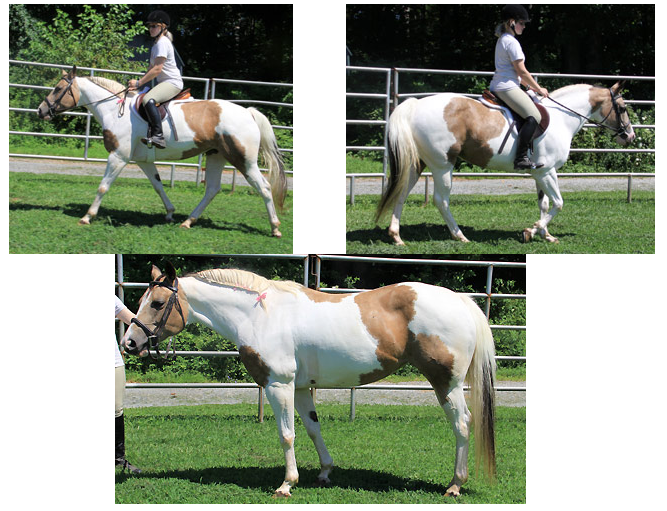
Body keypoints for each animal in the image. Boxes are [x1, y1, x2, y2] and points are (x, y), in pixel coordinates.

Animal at [37, 66, 286, 237]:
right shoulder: (143, 161)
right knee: (212, 189)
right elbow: (157, 185)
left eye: (58, 89)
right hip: (216, 155)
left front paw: (87, 217)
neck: (114, 110)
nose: (41, 111)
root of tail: (248, 112)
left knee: (264, 187)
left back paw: (275, 228)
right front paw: (169, 212)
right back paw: (188, 221)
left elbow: (103, 186)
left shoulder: (118, 157)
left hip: (243, 160)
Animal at [120, 262, 497, 498]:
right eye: (141, 300)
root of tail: (461, 302)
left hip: (446, 383)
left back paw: (454, 484)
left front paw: (287, 484)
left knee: (462, 425)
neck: (259, 314)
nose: (130, 343)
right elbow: (313, 429)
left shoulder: (278, 385)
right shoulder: (300, 387)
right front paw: (325, 472)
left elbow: (287, 434)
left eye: (157, 303)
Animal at [375, 81, 635, 244]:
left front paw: (545, 234)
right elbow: (559, 203)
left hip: (417, 164)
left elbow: (544, 204)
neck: (562, 118)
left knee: (401, 193)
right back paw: (459, 236)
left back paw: (397, 236)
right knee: (442, 200)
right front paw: (531, 231)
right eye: (622, 108)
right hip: (442, 165)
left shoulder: (539, 173)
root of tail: (416, 105)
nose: (630, 136)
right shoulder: (547, 172)